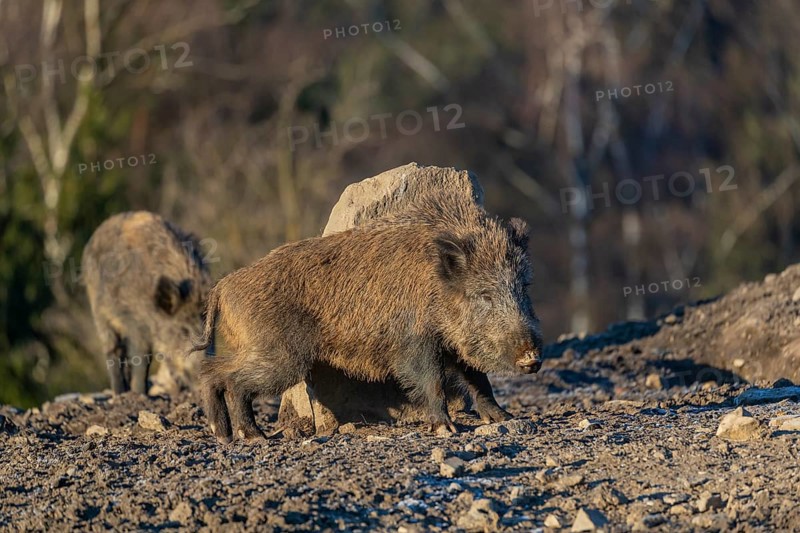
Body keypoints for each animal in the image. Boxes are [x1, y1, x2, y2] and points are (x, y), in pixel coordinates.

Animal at [82, 211, 212, 394]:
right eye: (183, 330)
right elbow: (142, 357)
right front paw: (139, 394)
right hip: (99, 311)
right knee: (112, 349)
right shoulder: (134, 321)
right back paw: (120, 392)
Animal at [194, 190, 543, 443]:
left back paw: (225, 436)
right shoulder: (414, 343)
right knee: (229, 379)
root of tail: (223, 287)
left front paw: (506, 419)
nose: (532, 357)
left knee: (212, 372)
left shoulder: (455, 343)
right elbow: (433, 382)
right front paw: (446, 429)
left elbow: (479, 380)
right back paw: (252, 437)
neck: (437, 287)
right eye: (484, 295)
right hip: (281, 356)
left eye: (524, 287)